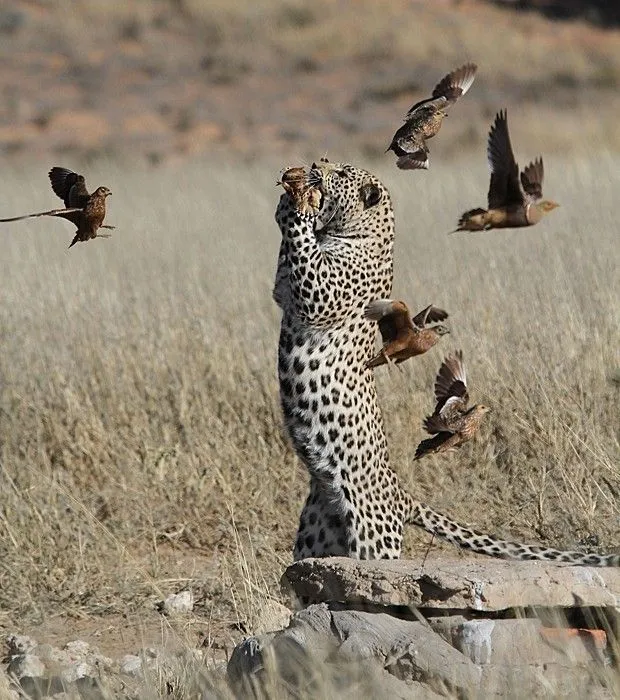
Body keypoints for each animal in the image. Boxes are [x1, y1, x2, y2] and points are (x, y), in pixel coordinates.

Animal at [274, 160, 616, 568]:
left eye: (341, 173)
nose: (314, 165)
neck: (360, 233)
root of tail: (400, 494)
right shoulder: (286, 292)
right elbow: (286, 268)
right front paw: (289, 200)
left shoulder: (321, 294)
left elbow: (306, 258)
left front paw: (299, 206)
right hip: (316, 532)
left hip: (372, 534)